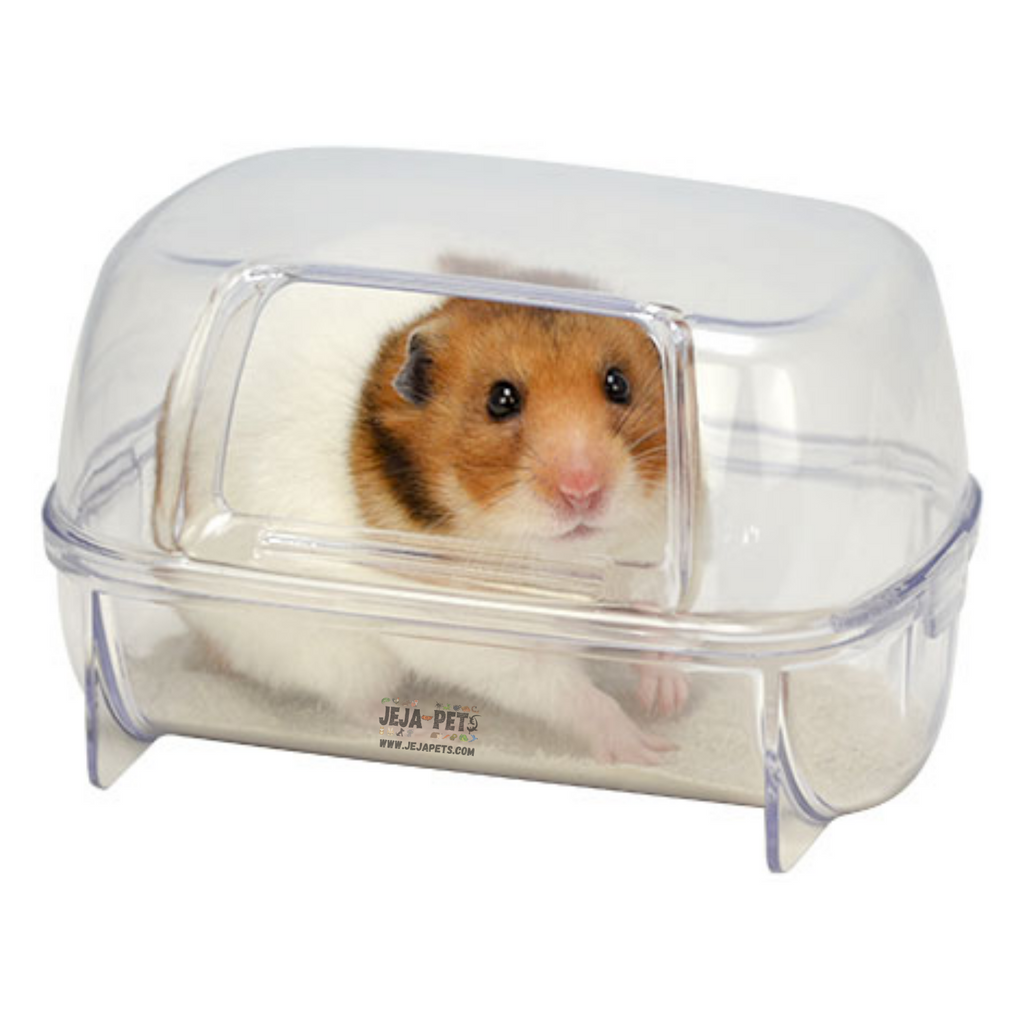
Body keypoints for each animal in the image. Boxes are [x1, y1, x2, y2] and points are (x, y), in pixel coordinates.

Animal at [159, 289, 687, 764]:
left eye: (618, 383)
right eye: (501, 399)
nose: (583, 490)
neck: (570, 564)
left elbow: (653, 619)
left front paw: (666, 699)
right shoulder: (486, 646)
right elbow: (572, 695)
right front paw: (649, 752)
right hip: (330, 652)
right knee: (353, 704)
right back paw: (411, 720)